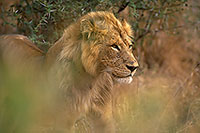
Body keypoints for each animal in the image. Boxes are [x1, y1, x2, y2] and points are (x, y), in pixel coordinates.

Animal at [0, 11, 138, 132]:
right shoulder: (64, 120)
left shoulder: (103, 116)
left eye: (129, 46)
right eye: (114, 46)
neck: (92, 80)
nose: (134, 67)